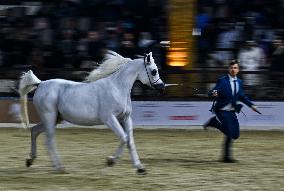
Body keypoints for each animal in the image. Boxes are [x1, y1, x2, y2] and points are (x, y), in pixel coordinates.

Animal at [19, 51, 164, 174]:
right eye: (154, 71)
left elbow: (130, 141)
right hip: (49, 117)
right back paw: (60, 167)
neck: (117, 88)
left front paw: (140, 168)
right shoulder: (109, 118)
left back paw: (30, 160)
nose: (162, 87)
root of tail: (40, 83)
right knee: (49, 140)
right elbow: (124, 138)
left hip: (54, 119)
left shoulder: (125, 118)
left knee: (34, 131)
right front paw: (110, 161)